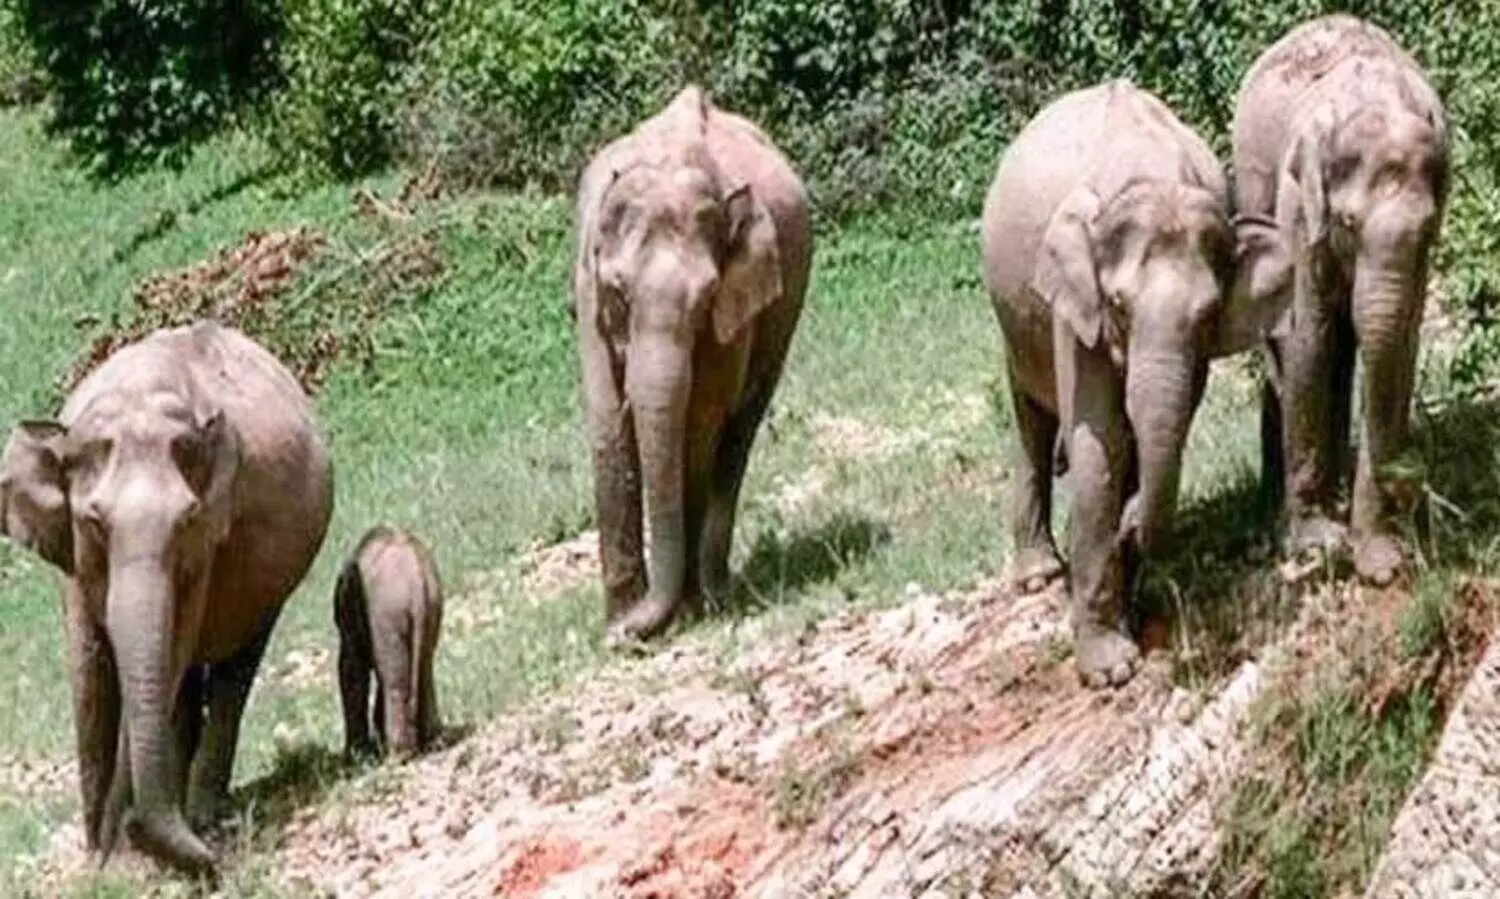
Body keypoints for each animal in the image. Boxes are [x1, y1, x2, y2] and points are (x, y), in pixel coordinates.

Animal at [0, 321, 334, 874]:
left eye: (186, 518)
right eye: (94, 521)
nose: (212, 865)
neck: (137, 397)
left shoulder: (209, 541)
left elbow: (174, 644)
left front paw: (122, 848)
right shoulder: (72, 558)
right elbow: (89, 665)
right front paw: (98, 856)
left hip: (273, 587)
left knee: (233, 672)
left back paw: (202, 812)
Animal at [334, 524, 444, 760]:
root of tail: (417, 582)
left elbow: (351, 667)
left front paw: (356, 756)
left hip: (388, 614)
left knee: (394, 678)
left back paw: (397, 756)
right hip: (432, 605)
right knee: (423, 666)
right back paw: (432, 743)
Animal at [570, 85, 813, 647]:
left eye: (705, 302)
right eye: (619, 293)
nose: (628, 630)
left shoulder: (737, 307)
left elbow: (699, 420)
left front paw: (672, 614)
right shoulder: (587, 294)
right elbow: (607, 422)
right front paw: (619, 623)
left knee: (737, 434)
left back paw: (713, 594)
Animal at [980, 79, 1295, 688]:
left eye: (1208, 313)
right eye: (1120, 305)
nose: (1131, 532)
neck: (1153, 175)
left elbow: (1152, 427)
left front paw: (1131, 587)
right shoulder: (1075, 307)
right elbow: (1099, 438)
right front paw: (1109, 670)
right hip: (1014, 317)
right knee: (1031, 418)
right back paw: (1038, 575)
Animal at [1231, 14, 1449, 586]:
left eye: (1427, 230)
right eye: (1348, 223)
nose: (1409, 478)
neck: (1378, 99)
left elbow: (1401, 346)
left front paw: (1379, 558)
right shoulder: (1300, 206)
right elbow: (1309, 337)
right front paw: (1316, 539)